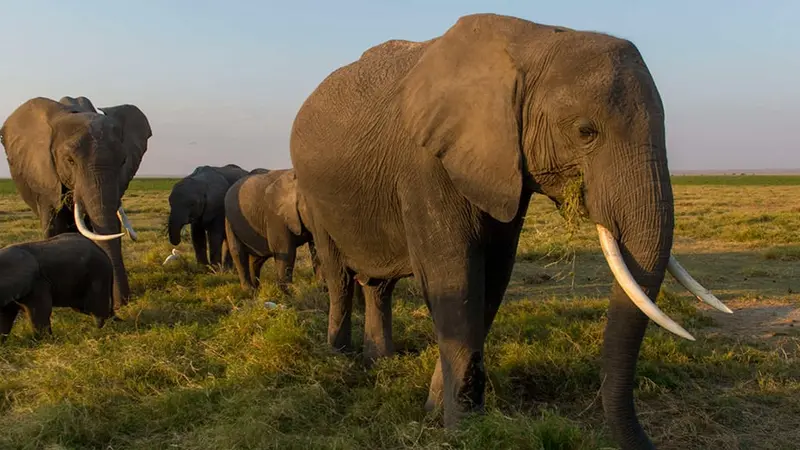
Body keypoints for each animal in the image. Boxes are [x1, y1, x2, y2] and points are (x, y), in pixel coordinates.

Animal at [289, 13, 731, 449]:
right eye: (585, 131)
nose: (649, 443)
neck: (534, 41)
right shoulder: (427, 163)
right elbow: (456, 281)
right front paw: (461, 430)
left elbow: (493, 279)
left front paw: (441, 412)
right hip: (312, 194)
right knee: (338, 277)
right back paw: (340, 358)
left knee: (378, 285)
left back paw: (379, 360)